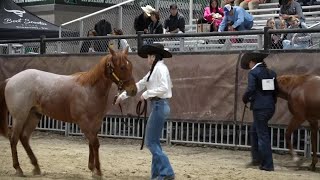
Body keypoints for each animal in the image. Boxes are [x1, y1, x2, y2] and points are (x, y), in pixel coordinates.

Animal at [0, 46, 136, 177]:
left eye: (131, 65)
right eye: (122, 67)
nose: (133, 90)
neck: (89, 89)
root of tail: (11, 79)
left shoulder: (96, 123)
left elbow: (91, 143)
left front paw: (92, 168)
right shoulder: (84, 123)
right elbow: (95, 143)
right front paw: (97, 171)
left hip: (33, 115)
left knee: (24, 137)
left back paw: (36, 167)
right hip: (19, 117)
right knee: (14, 139)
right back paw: (18, 169)